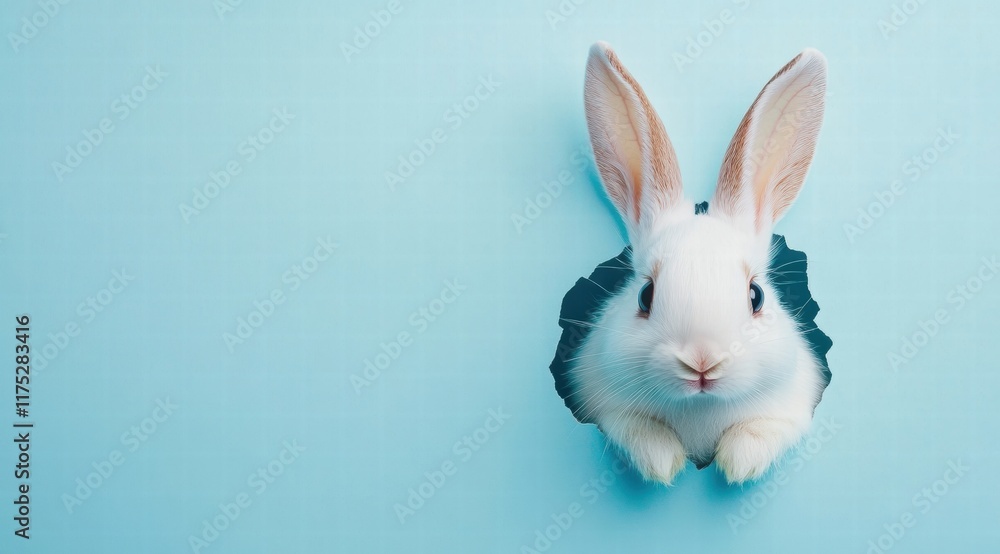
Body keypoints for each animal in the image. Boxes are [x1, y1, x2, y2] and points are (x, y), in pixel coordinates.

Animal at [568, 42, 828, 485]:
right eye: (645, 295)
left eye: (756, 296)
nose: (702, 362)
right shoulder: (605, 404)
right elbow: (637, 429)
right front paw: (662, 462)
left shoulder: (791, 407)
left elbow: (762, 431)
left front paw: (739, 463)